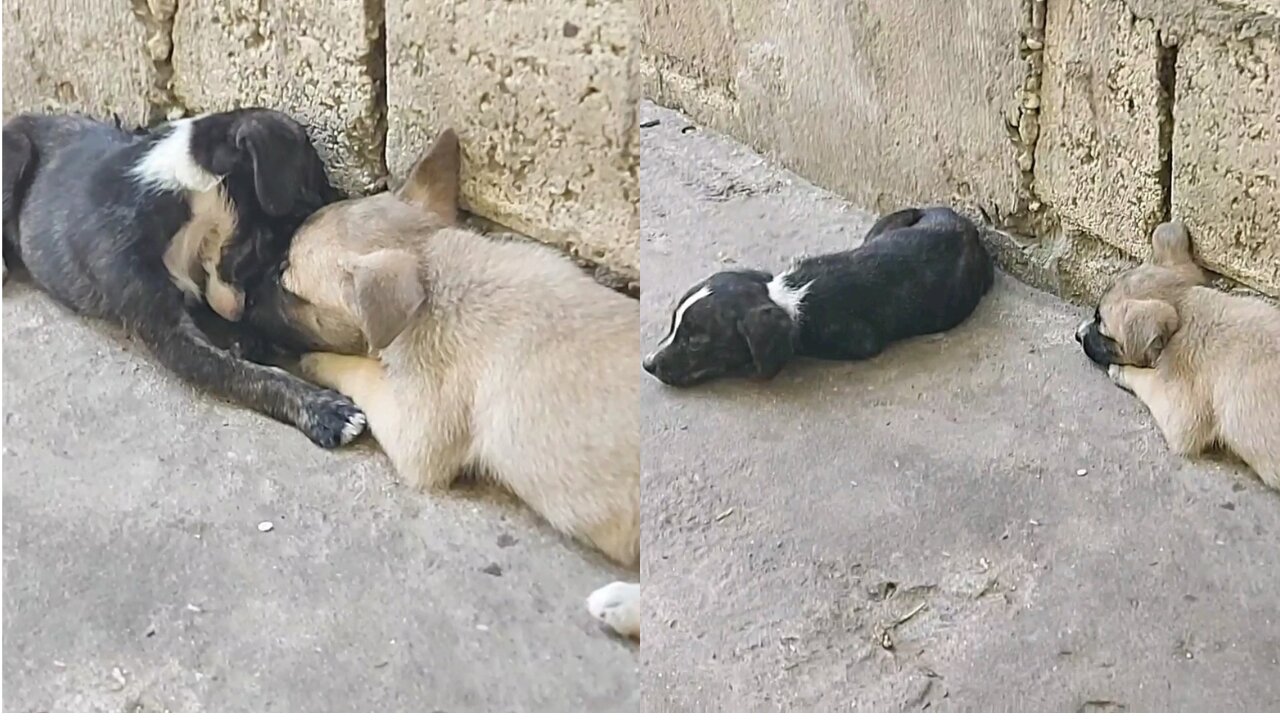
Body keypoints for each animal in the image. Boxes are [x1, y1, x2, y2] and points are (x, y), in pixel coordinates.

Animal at [7, 109, 368, 445]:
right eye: (306, 201)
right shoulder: (172, 336)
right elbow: (249, 376)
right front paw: (324, 410)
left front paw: (245, 336)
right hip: (14, 149)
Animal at [249, 127, 645, 632]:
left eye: (285, 280)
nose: (244, 290)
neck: (432, 267)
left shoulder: (416, 427)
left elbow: (362, 369)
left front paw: (317, 360)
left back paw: (624, 606)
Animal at [1070, 220, 1280, 486]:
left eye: (1101, 323)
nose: (1077, 335)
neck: (1188, 309)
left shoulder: (1183, 416)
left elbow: (1150, 383)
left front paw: (1122, 371)